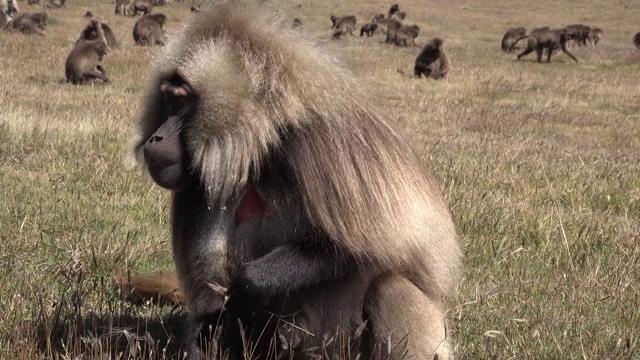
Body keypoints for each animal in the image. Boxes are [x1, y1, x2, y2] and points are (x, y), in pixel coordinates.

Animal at [129, 1, 460, 358]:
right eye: (166, 98)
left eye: (182, 99)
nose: (156, 138)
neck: (261, 147)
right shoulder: (198, 188)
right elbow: (210, 309)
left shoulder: (321, 147)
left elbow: (369, 249)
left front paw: (251, 283)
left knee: (389, 285)